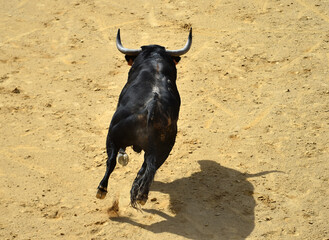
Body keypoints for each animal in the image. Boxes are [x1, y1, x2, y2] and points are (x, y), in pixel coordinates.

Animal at [96, 29, 191, 207]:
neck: (155, 60)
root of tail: (152, 106)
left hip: (112, 135)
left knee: (111, 160)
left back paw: (102, 190)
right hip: (165, 146)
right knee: (149, 168)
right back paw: (141, 194)